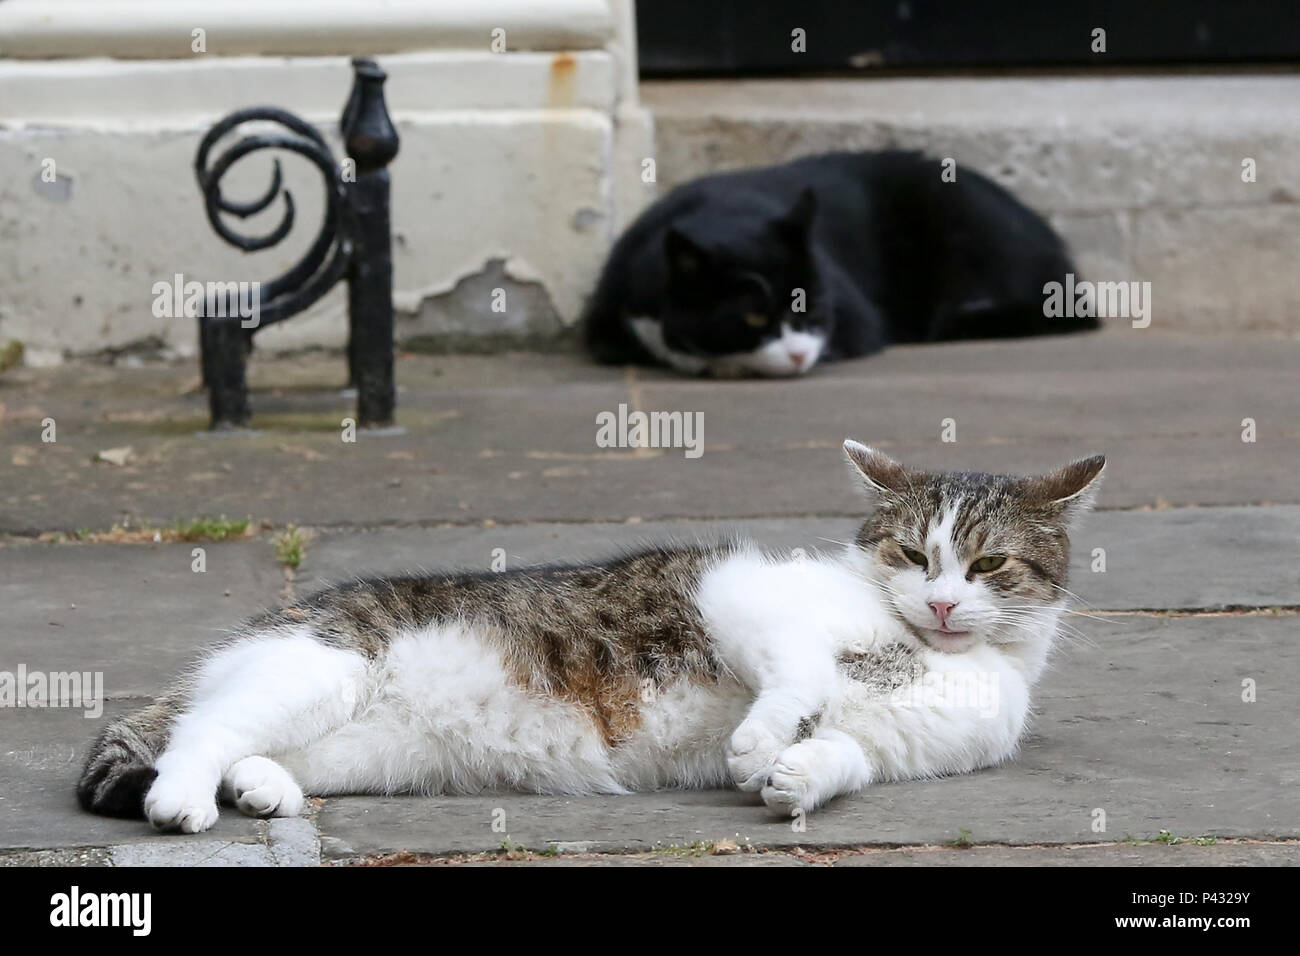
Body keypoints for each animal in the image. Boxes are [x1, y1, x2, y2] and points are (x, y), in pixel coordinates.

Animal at [78, 444, 1097, 832]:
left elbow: (843, 756)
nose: (943, 607)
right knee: (196, 733)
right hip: (318, 672)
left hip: (363, 744)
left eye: (989, 566)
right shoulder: (737, 592)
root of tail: (270, 622)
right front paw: (763, 739)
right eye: (911, 555)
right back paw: (183, 802)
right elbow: (799, 671)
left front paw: (793, 777)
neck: (928, 658)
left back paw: (263, 789)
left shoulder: (895, 750)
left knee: (248, 749)